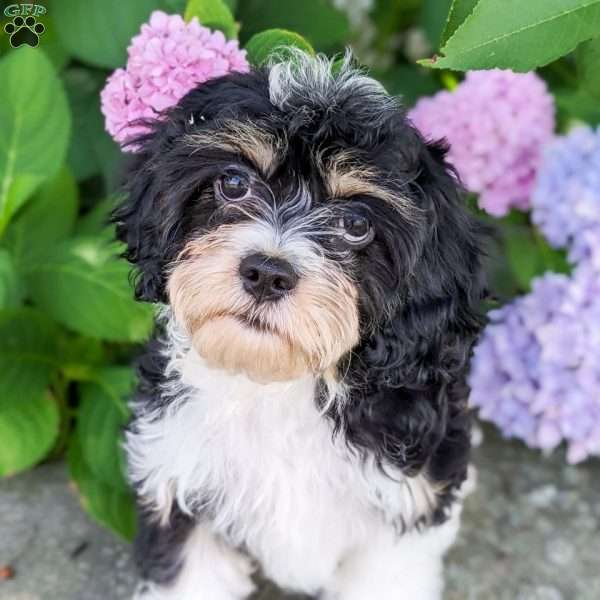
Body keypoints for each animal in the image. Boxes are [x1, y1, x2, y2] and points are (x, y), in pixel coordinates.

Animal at [117, 51, 488, 600]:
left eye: (356, 224)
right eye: (234, 184)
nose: (267, 273)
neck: (279, 384)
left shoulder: (403, 507)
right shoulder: (178, 477)